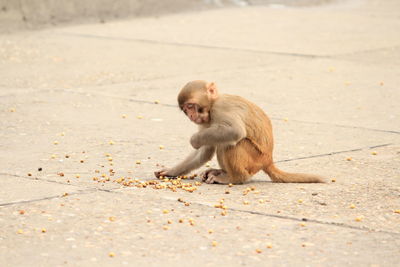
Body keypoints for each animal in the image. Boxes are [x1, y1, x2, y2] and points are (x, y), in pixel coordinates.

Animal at [153, 80, 324, 185]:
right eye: (185, 110)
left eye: (191, 106)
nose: (191, 116)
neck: (212, 105)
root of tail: (268, 160)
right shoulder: (206, 121)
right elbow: (204, 151)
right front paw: (170, 171)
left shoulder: (221, 108)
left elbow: (235, 131)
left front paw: (195, 139)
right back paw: (220, 172)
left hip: (255, 159)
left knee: (230, 143)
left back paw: (233, 177)